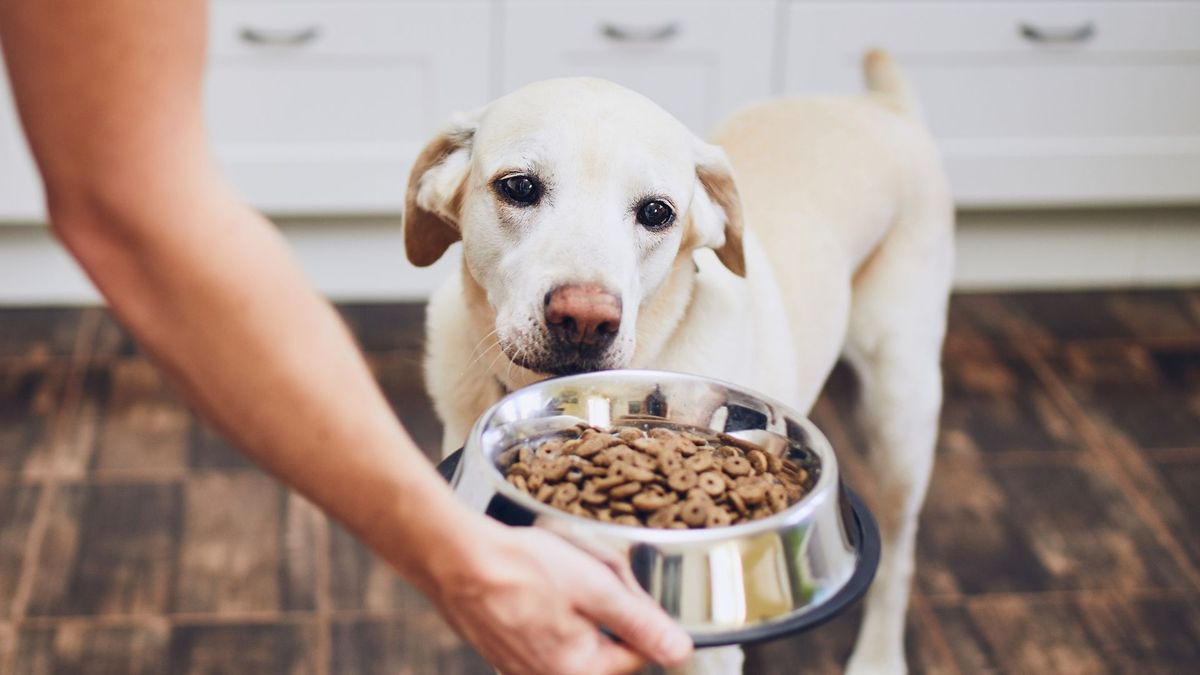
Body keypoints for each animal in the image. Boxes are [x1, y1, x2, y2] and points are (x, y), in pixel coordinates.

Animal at [403, 49, 955, 667]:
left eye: (657, 212)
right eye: (518, 186)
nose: (585, 319)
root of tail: (884, 106)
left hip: (902, 414)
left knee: (900, 558)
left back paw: (879, 657)